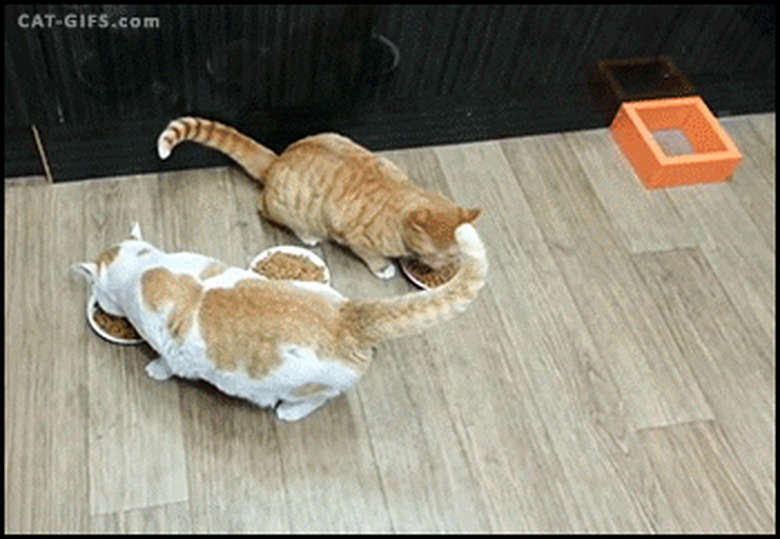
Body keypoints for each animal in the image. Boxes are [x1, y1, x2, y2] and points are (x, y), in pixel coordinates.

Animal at [74, 221, 488, 420]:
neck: (146, 267)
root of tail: (347, 316)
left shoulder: (174, 350)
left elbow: (167, 363)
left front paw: (155, 370)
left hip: (306, 386)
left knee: (320, 398)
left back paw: (289, 412)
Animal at [157, 117, 482, 278]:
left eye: (454, 254)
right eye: (445, 255)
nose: (445, 266)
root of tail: (278, 160)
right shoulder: (356, 237)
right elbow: (372, 256)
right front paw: (383, 268)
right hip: (286, 209)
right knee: (264, 210)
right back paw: (307, 234)